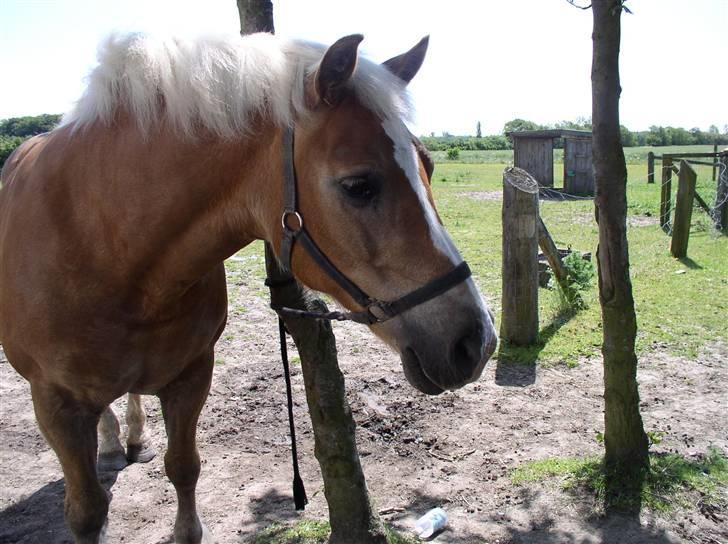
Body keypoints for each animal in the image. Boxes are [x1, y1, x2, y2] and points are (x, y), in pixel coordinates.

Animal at [0, 33, 494, 544]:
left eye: (428, 167)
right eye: (358, 185)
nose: (476, 343)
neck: (108, 244)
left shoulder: (192, 376)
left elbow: (184, 469)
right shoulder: (54, 403)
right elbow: (87, 510)